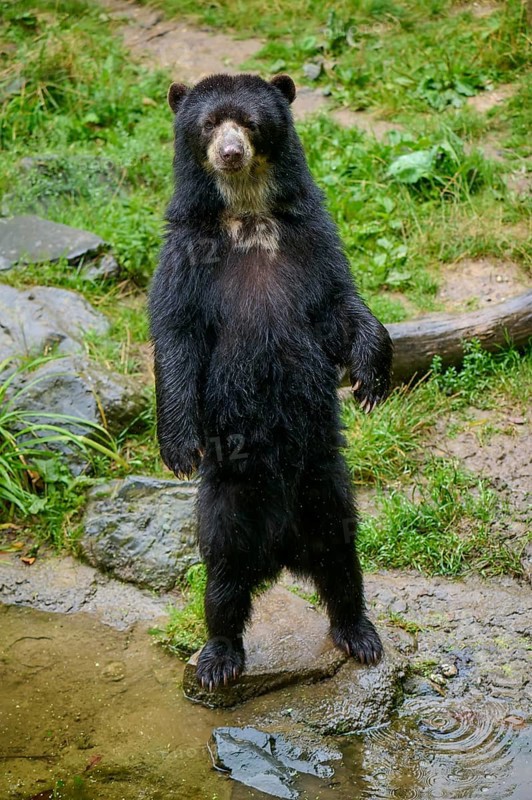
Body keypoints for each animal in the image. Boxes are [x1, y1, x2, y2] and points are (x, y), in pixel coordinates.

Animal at [149, 73, 393, 690]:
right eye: (209, 124)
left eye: (251, 123)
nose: (231, 153)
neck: (251, 216)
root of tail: (282, 551)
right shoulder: (186, 256)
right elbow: (177, 336)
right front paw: (178, 449)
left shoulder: (312, 241)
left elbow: (340, 304)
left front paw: (371, 380)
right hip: (231, 497)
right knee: (223, 576)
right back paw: (218, 658)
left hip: (325, 482)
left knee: (342, 555)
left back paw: (359, 632)